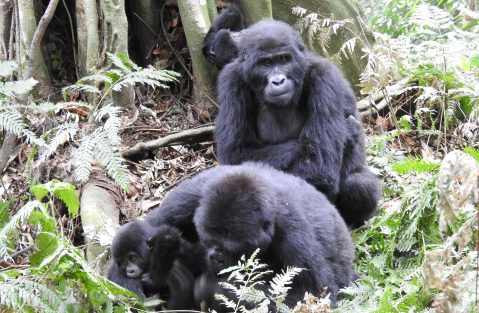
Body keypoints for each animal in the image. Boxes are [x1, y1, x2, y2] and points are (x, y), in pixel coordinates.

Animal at [152, 162, 358, 308]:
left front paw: (211, 289)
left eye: (230, 246)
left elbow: (312, 295)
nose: (215, 258)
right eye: (208, 240)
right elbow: (154, 225)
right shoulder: (196, 193)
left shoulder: (295, 235)